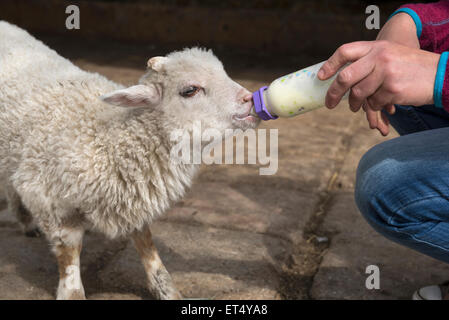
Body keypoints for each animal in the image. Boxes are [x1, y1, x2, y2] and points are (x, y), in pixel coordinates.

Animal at [0, 21, 260, 300]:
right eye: (190, 90)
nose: (249, 99)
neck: (110, 137)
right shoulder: (48, 197)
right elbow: (69, 253)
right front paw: (72, 292)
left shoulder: (133, 196)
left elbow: (147, 244)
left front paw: (166, 289)